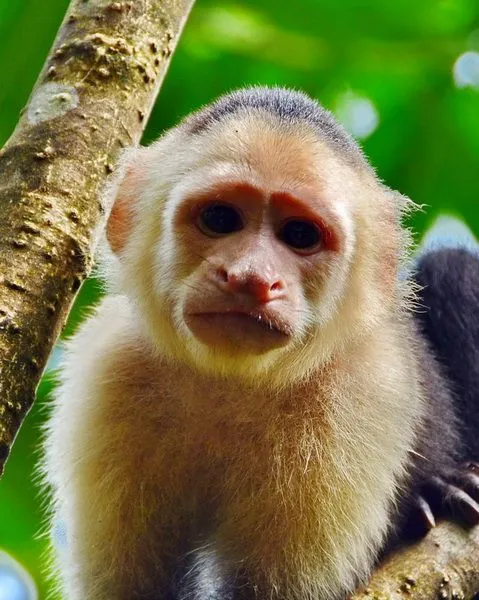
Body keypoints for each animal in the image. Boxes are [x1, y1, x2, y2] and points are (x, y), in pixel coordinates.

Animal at [42, 85, 479, 600]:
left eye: (300, 234)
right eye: (220, 218)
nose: (250, 277)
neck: (231, 382)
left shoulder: (353, 402)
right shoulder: (108, 375)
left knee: (452, 270)